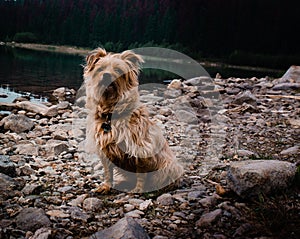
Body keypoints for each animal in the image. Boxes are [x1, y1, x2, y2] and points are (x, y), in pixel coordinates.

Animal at [83, 47, 184, 193]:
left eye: (118, 70)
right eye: (100, 69)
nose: (107, 75)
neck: (110, 111)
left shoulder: (141, 149)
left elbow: (140, 173)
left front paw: (138, 189)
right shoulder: (105, 149)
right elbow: (108, 172)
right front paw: (107, 186)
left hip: (169, 167)